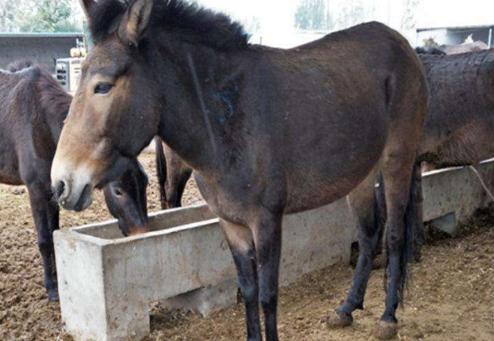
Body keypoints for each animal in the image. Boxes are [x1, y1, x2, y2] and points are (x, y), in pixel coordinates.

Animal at [0, 59, 149, 298]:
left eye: (145, 183)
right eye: (118, 190)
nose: (142, 234)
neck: (42, 124)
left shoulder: (55, 190)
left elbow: (53, 234)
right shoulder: (36, 191)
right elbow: (44, 240)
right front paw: (51, 288)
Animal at [51, 1, 428, 338]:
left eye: (102, 86)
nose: (61, 184)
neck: (227, 120)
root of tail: (401, 43)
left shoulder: (267, 221)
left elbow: (268, 296)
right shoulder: (231, 223)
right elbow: (247, 292)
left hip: (397, 162)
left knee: (394, 234)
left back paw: (388, 317)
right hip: (361, 175)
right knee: (368, 236)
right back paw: (347, 309)